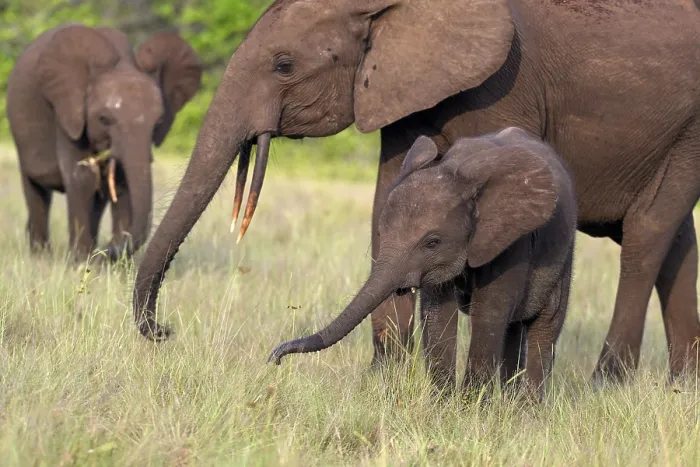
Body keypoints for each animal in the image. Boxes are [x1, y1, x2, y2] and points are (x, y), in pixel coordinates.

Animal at [7, 24, 202, 262]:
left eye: (158, 122)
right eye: (103, 119)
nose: (107, 250)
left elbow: (121, 183)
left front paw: (111, 264)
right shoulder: (67, 114)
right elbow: (82, 177)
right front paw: (81, 262)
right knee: (36, 190)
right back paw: (41, 256)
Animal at [268, 129, 577, 400]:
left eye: (432, 242)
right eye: (380, 231)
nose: (275, 358)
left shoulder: (510, 240)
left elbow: (489, 313)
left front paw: (471, 412)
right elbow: (438, 315)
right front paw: (444, 409)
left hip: (564, 254)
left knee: (544, 327)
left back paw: (526, 413)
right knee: (513, 330)